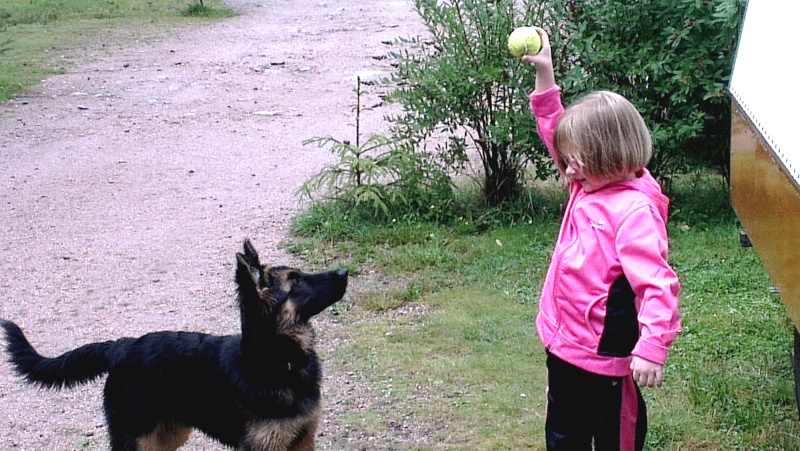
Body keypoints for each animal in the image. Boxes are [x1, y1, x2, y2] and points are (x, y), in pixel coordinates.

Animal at [1, 238, 348, 450]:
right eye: (296, 282)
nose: (344, 271)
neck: (276, 358)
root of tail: (123, 346)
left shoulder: (303, 439)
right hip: (138, 438)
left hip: (167, 435)